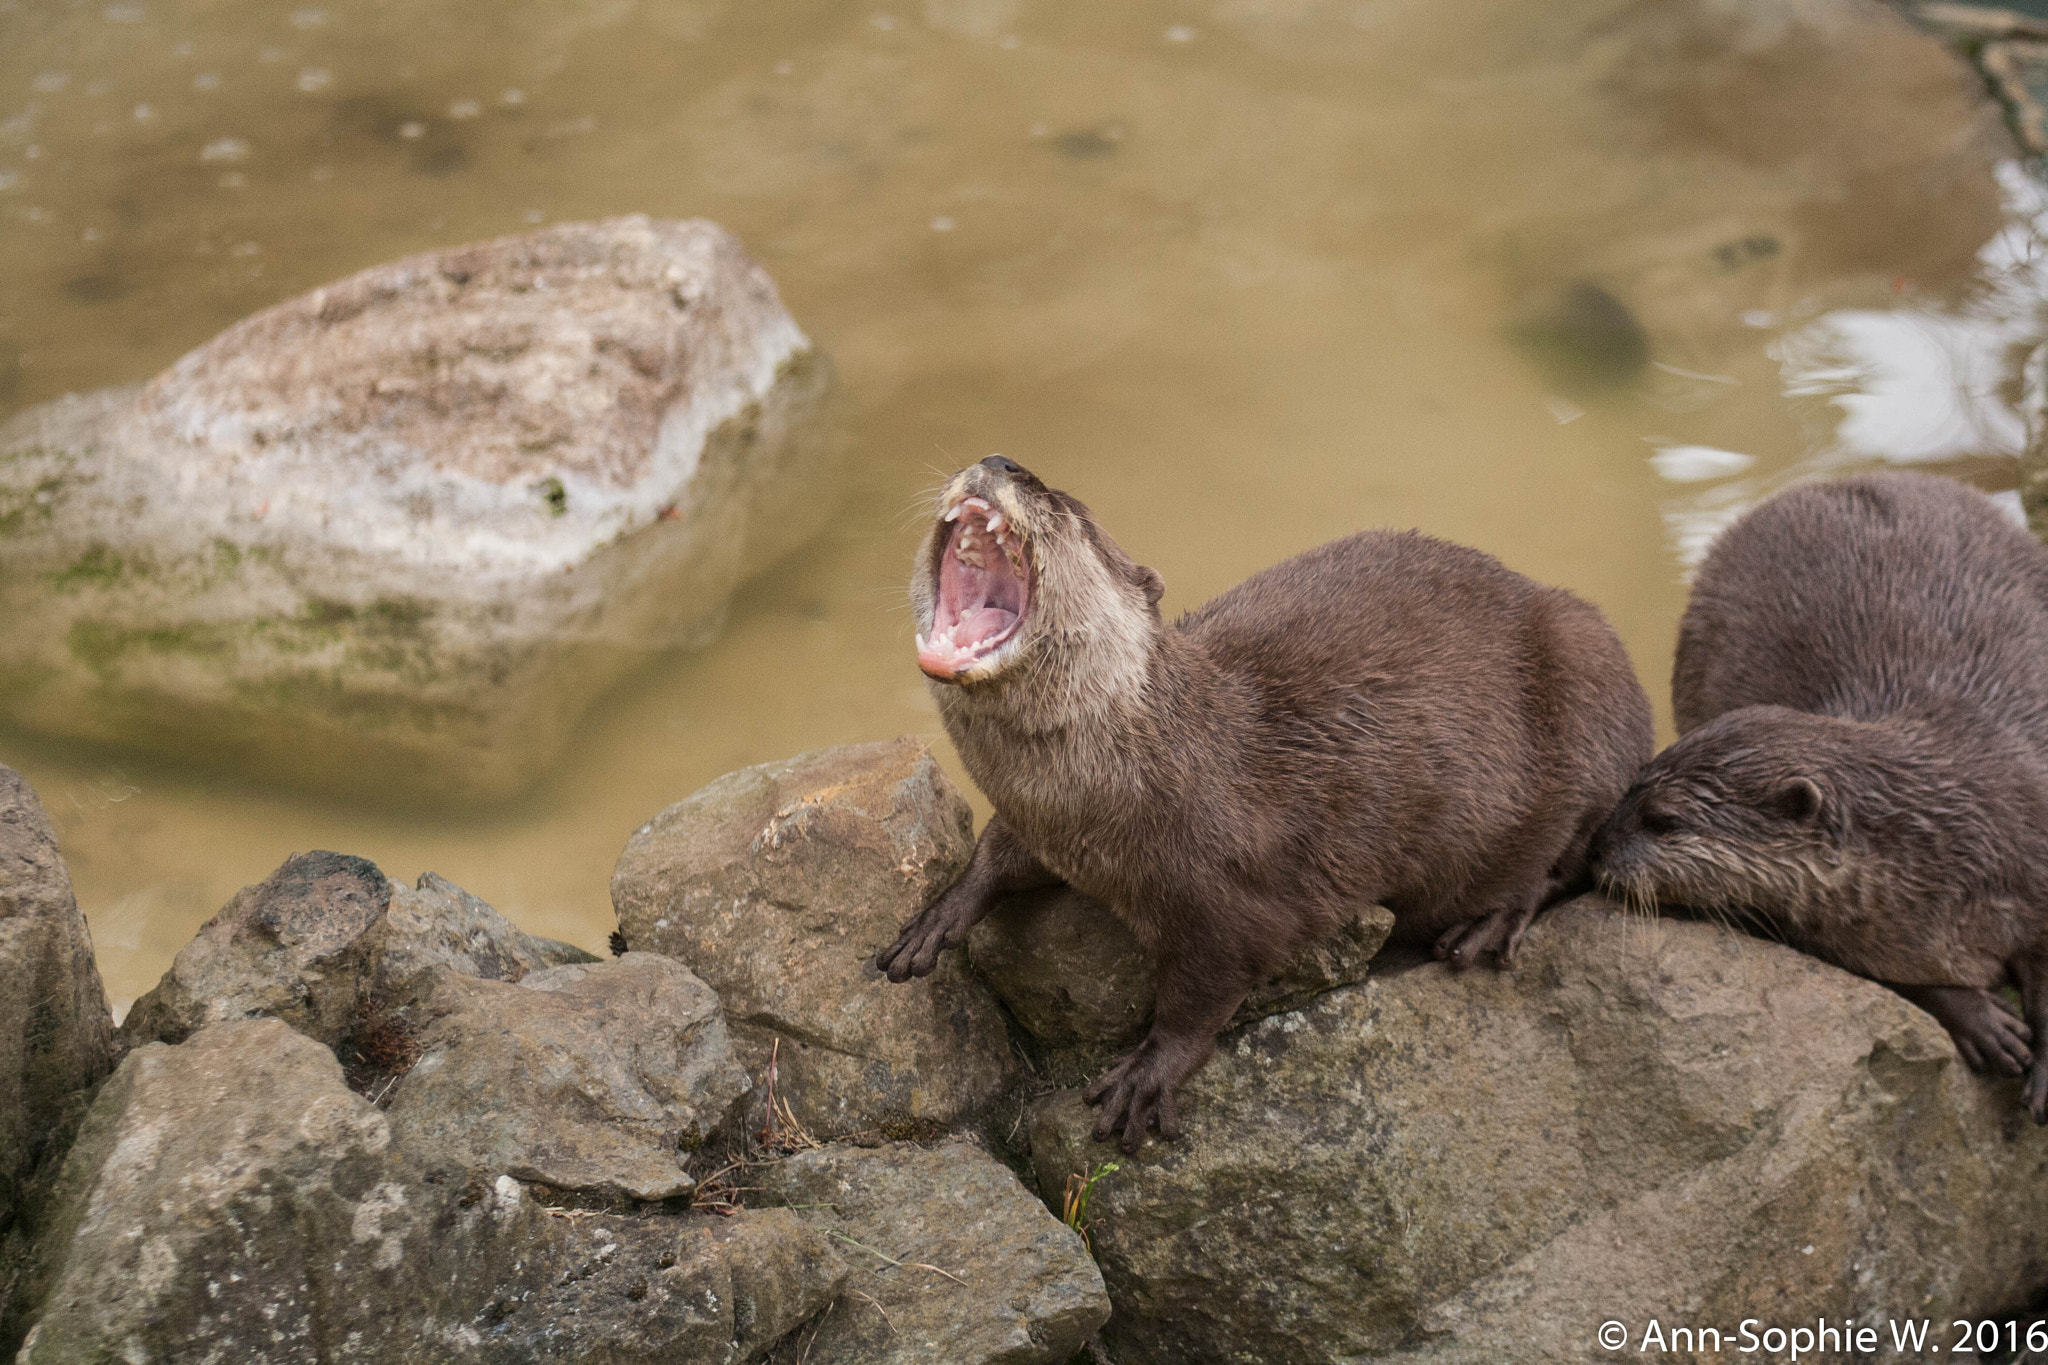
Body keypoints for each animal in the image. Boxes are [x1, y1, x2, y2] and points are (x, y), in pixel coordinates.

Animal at [876, 458, 1646, 1154]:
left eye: (1065, 506)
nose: (1000, 461)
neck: (1153, 769)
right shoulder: (1043, 823)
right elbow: (998, 852)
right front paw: (938, 916)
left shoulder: (1233, 895)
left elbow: (1207, 985)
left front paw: (1149, 1071)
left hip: (1592, 678)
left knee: (1571, 858)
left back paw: (1486, 925)